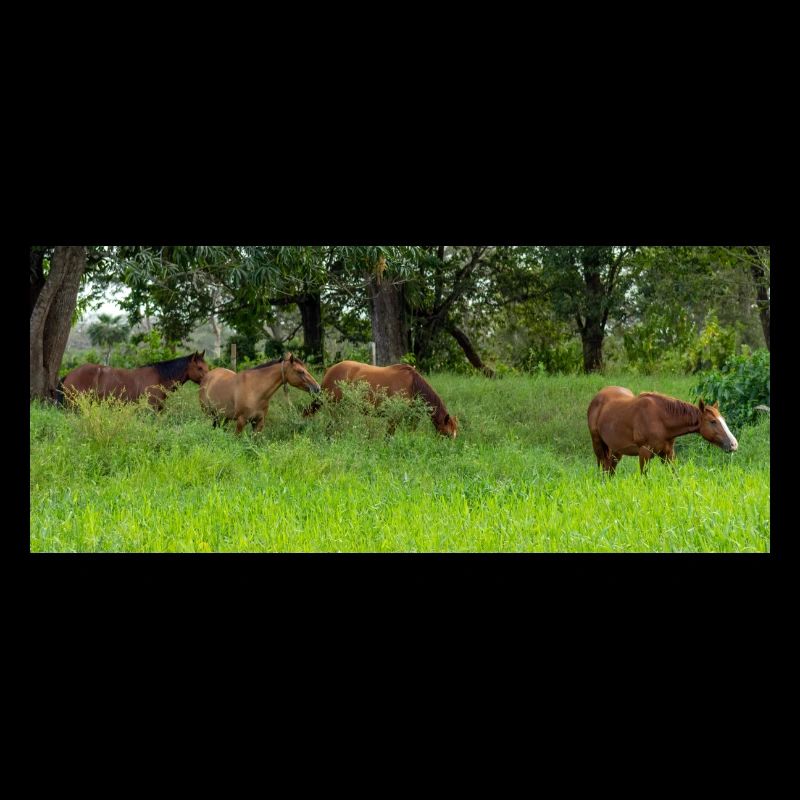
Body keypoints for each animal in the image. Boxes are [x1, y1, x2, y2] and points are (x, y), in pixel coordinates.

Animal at [304, 360, 459, 438]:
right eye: (447, 434)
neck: (413, 384)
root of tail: (329, 371)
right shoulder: (394, 417)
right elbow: (388, 436)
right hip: (337, 409)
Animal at [587, 386, 738, 475]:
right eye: (713, 421)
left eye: (723, 420)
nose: (733, 444)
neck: (661, 419)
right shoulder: (644, 453)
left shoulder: (667, 454)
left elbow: (675, 476)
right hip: (598, 446)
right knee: (603, 469)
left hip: (616, 451)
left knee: (609, 471)